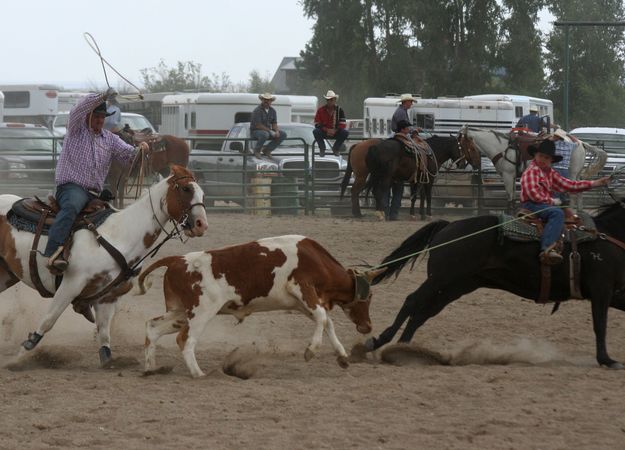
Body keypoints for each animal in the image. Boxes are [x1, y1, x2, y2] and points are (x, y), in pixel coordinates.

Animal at [0, 165, 210, 366]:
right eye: (185, 189)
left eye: (202, 193)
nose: (201, 225)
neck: (119, 235)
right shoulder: (71, 284)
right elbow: (49, 319)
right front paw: (21, 354)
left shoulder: (108, 296)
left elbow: (104, 331)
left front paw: (108, 358)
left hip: (6, 274)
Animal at [135, 234, 382, 378]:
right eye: (369, 296)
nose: (368, 326)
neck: (316, 260)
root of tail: (176, 260)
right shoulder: (303, 290)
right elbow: (323, 318)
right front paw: (310, 351)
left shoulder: (304, 304)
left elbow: (327, 321)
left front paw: (342, 356)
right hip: (200, 313)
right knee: (185, 340)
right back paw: (198, 373)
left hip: (179, 313)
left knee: (152, 328)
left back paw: (150, 368)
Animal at [366, 201, 625, 370]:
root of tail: (448, 226)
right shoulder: (601, 290)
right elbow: (600, 325)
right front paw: (608, 360)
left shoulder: (615, 293)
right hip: (441, 279)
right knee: (412, 301)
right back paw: (379, 342)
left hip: (455, 286)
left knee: (422, 313)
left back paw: (404, 350)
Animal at [458, 125, 604, 212]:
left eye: (462, 145)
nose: (460, 164)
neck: (501, 147)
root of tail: (579, 143)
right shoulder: (511, 176)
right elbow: (512, 197)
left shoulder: (507, 175)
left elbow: (509, 197)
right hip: (577, 174)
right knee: (580, 191)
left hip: (572, 173)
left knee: (573, 193)